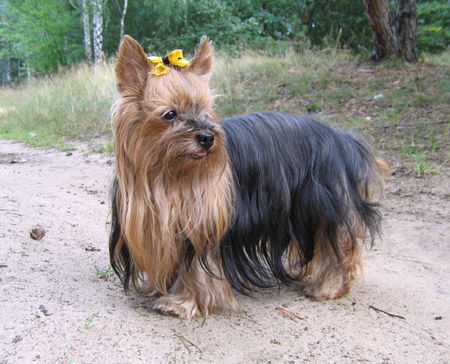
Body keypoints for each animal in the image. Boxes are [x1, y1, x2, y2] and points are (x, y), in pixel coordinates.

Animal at [109, 34, 386, 318]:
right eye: (170, 114)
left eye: (205, 110)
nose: (207, 137)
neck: (170, 176)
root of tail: (341, 137)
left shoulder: (205, 223)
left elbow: (198, 268)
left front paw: (182, 302)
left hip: (322, 205)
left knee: (338, 245)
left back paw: (329, 287)